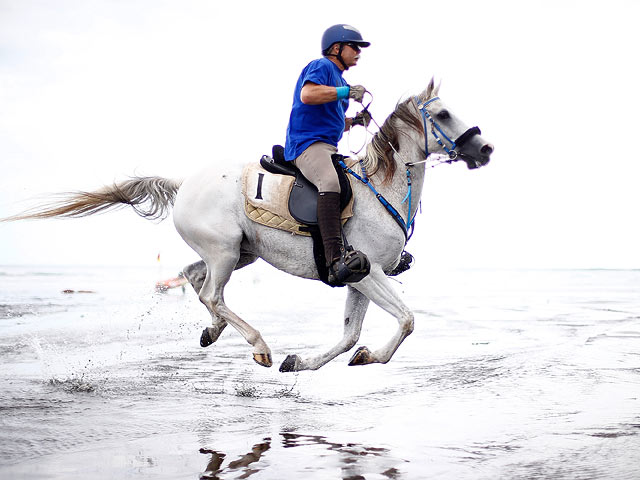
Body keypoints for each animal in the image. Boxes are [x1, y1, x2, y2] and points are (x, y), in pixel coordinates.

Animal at [1, 79, 496, 372]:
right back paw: (258, 345)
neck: (382, 187)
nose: (485, 149)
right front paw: (372, 355)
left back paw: (213, 332)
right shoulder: (367, 270)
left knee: (193, 278)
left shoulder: (359, 277)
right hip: (224, 252)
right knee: (210, 293)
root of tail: (184, 183)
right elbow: (407, 319)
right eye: (444, 115)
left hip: (241, 252)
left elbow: (351, 334)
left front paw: (311, 361)